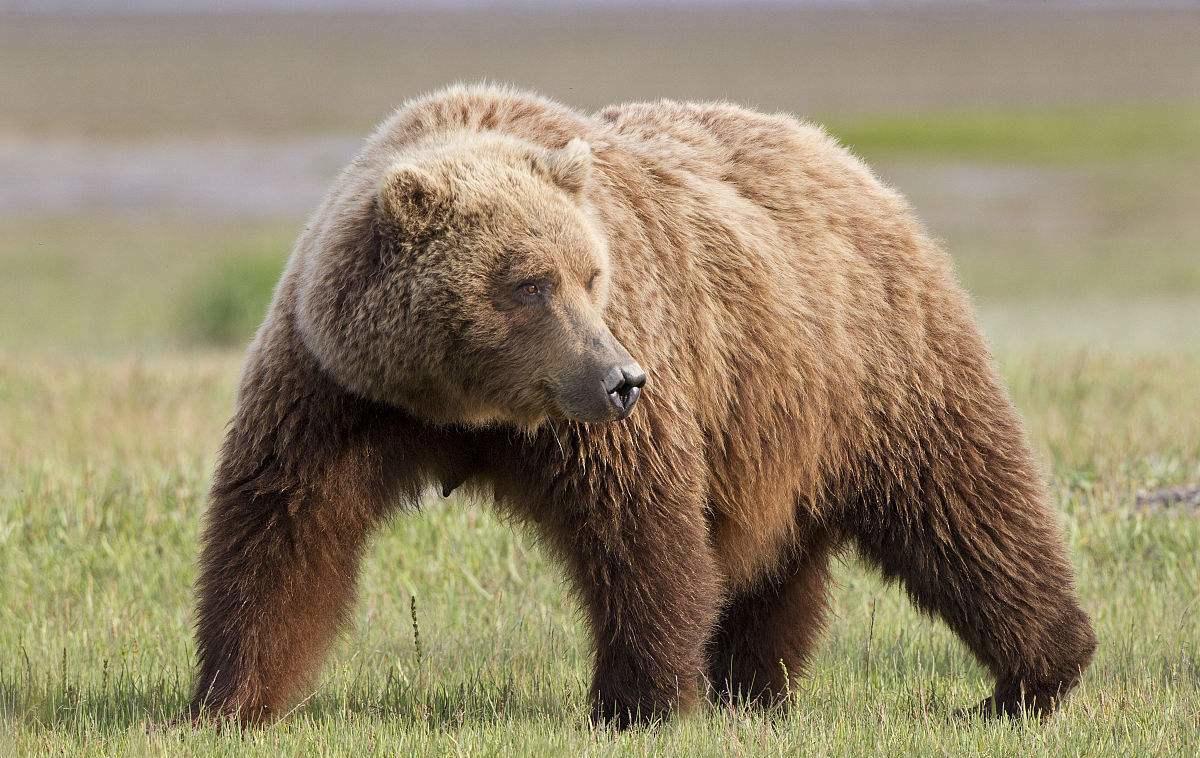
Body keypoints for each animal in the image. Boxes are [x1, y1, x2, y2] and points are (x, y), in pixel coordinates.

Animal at [189, 82, 1099, 729]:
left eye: (593, 273)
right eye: (529, 283)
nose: (623, 379)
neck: (465, 404)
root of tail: (845, 160)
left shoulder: (605, 415)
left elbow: (641, 531)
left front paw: (641, 702)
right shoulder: (338, 390)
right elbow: (282, 530)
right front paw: (228, 701)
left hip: (875, 367)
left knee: (965, 508)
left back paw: (1029, 680)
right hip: (771, 424)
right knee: (779, 559)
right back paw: (753, 689)